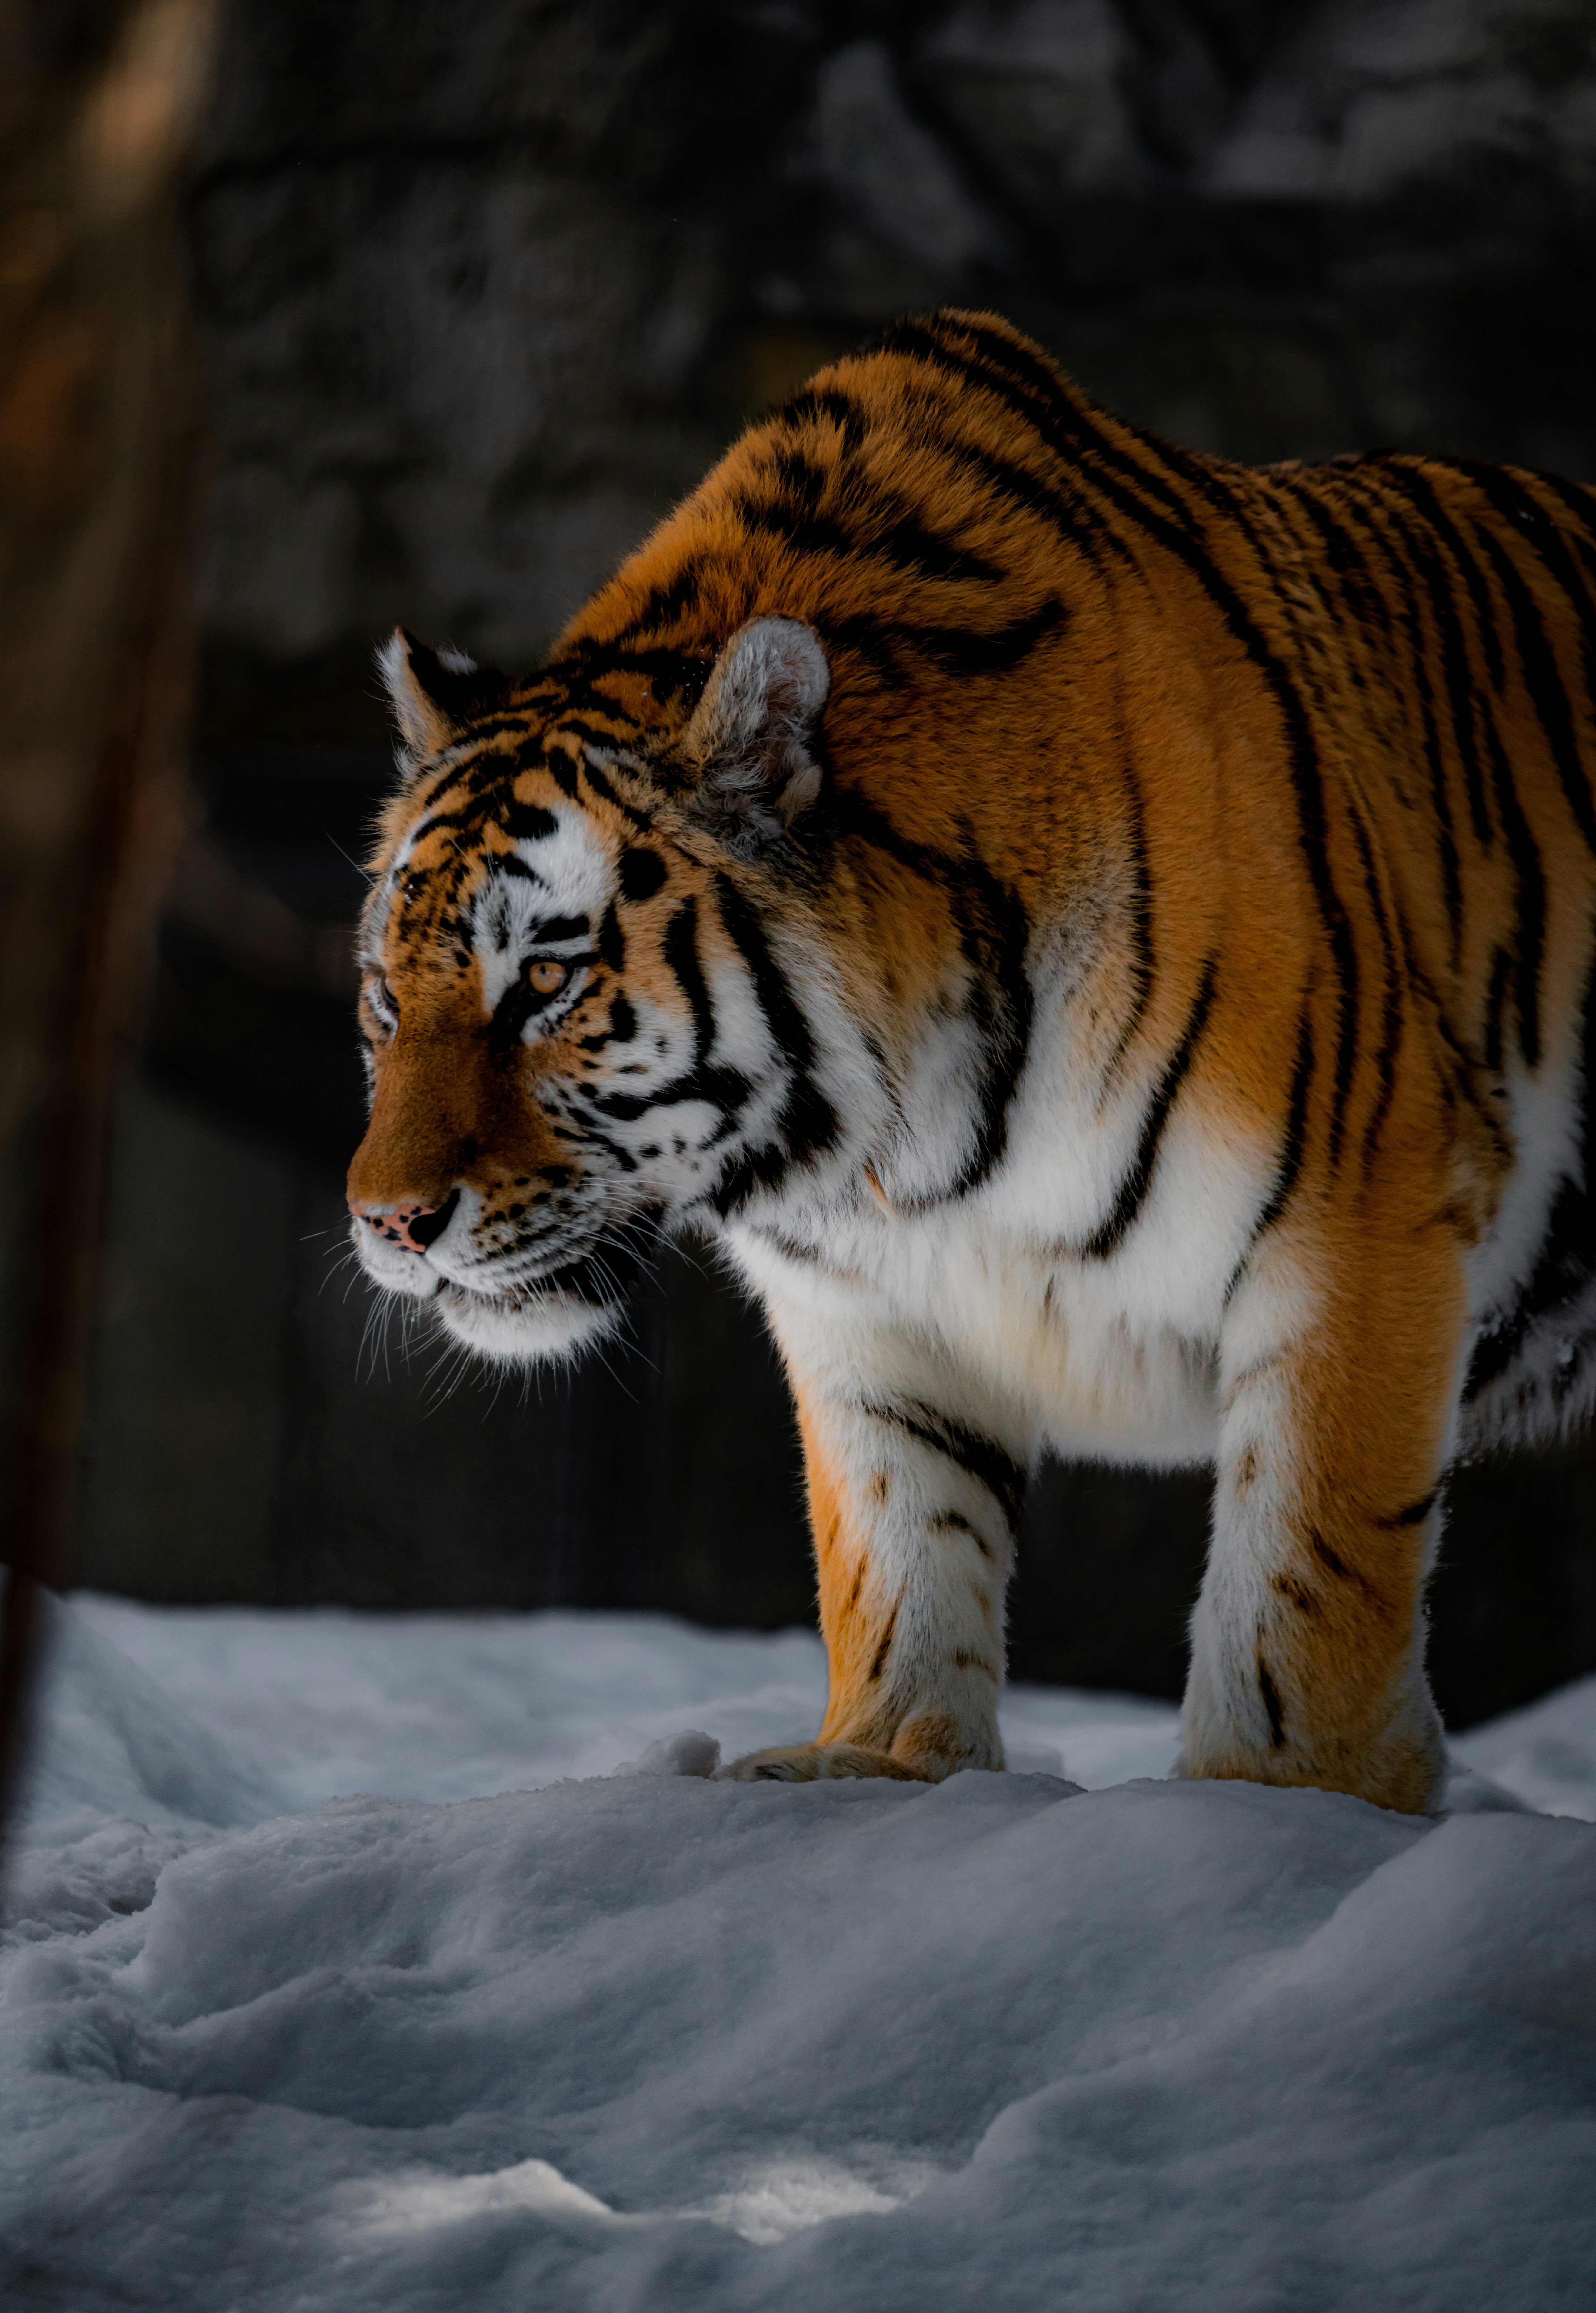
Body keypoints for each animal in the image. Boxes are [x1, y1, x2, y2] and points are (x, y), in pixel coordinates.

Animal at [347, 308, 1596, 1816]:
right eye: (383, 998)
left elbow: (1303, 1590)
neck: (894, 1142)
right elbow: (898, 1547)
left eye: (543, 979)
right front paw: (878, 1766)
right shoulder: (865, 1312)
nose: (388, 1224)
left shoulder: (1360, 1224)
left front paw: (1279, 1814)